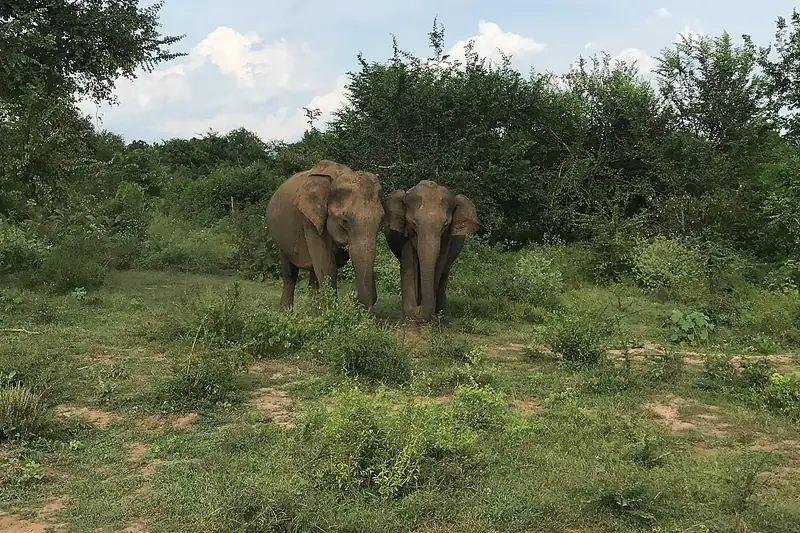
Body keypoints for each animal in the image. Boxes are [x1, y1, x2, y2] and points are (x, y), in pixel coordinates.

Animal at [265, 159, 384, 310]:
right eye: (344, 221)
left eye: (381, 221)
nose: (354, 300)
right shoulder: (310, 220)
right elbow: (327, 265)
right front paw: (332, 310)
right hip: (282, 240)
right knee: (290, 274)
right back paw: (286, 311)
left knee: (314, 273)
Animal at [382, 180, 480, 322]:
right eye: (414, 223)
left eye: (445, 224)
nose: (417, 310)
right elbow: (409, 263)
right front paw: (410, 318)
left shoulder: (447, 239)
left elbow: (439, 264)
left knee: (444, 274)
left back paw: (443, 319)